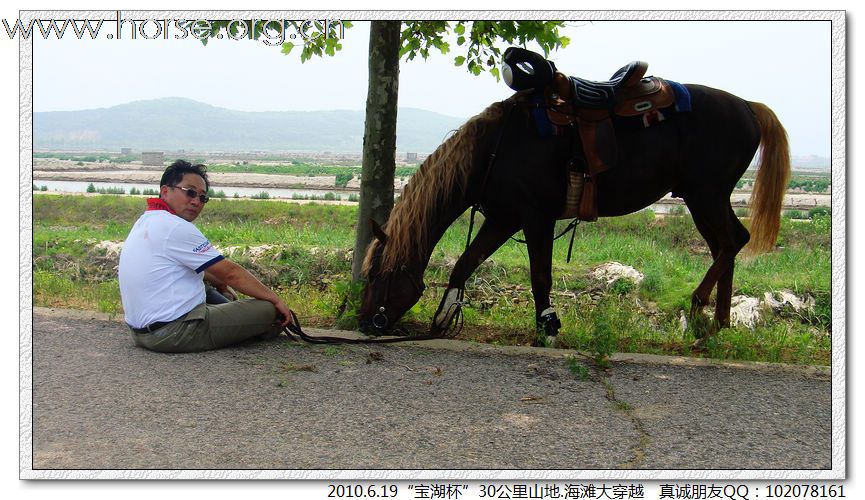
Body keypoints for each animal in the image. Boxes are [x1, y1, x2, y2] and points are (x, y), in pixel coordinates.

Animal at [358, 84, 788, 346]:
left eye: (376, 274)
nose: (364, 323)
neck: (494, 150)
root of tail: (749, 108)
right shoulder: (503, 218)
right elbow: (465, 263)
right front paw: (444, 316)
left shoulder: (535, 217)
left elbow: (540, 276)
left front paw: (547, 327)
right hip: (705, 200)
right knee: (724, 247)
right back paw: (716, 325)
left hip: (706, 195)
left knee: (734, 241)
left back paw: (699, 308)